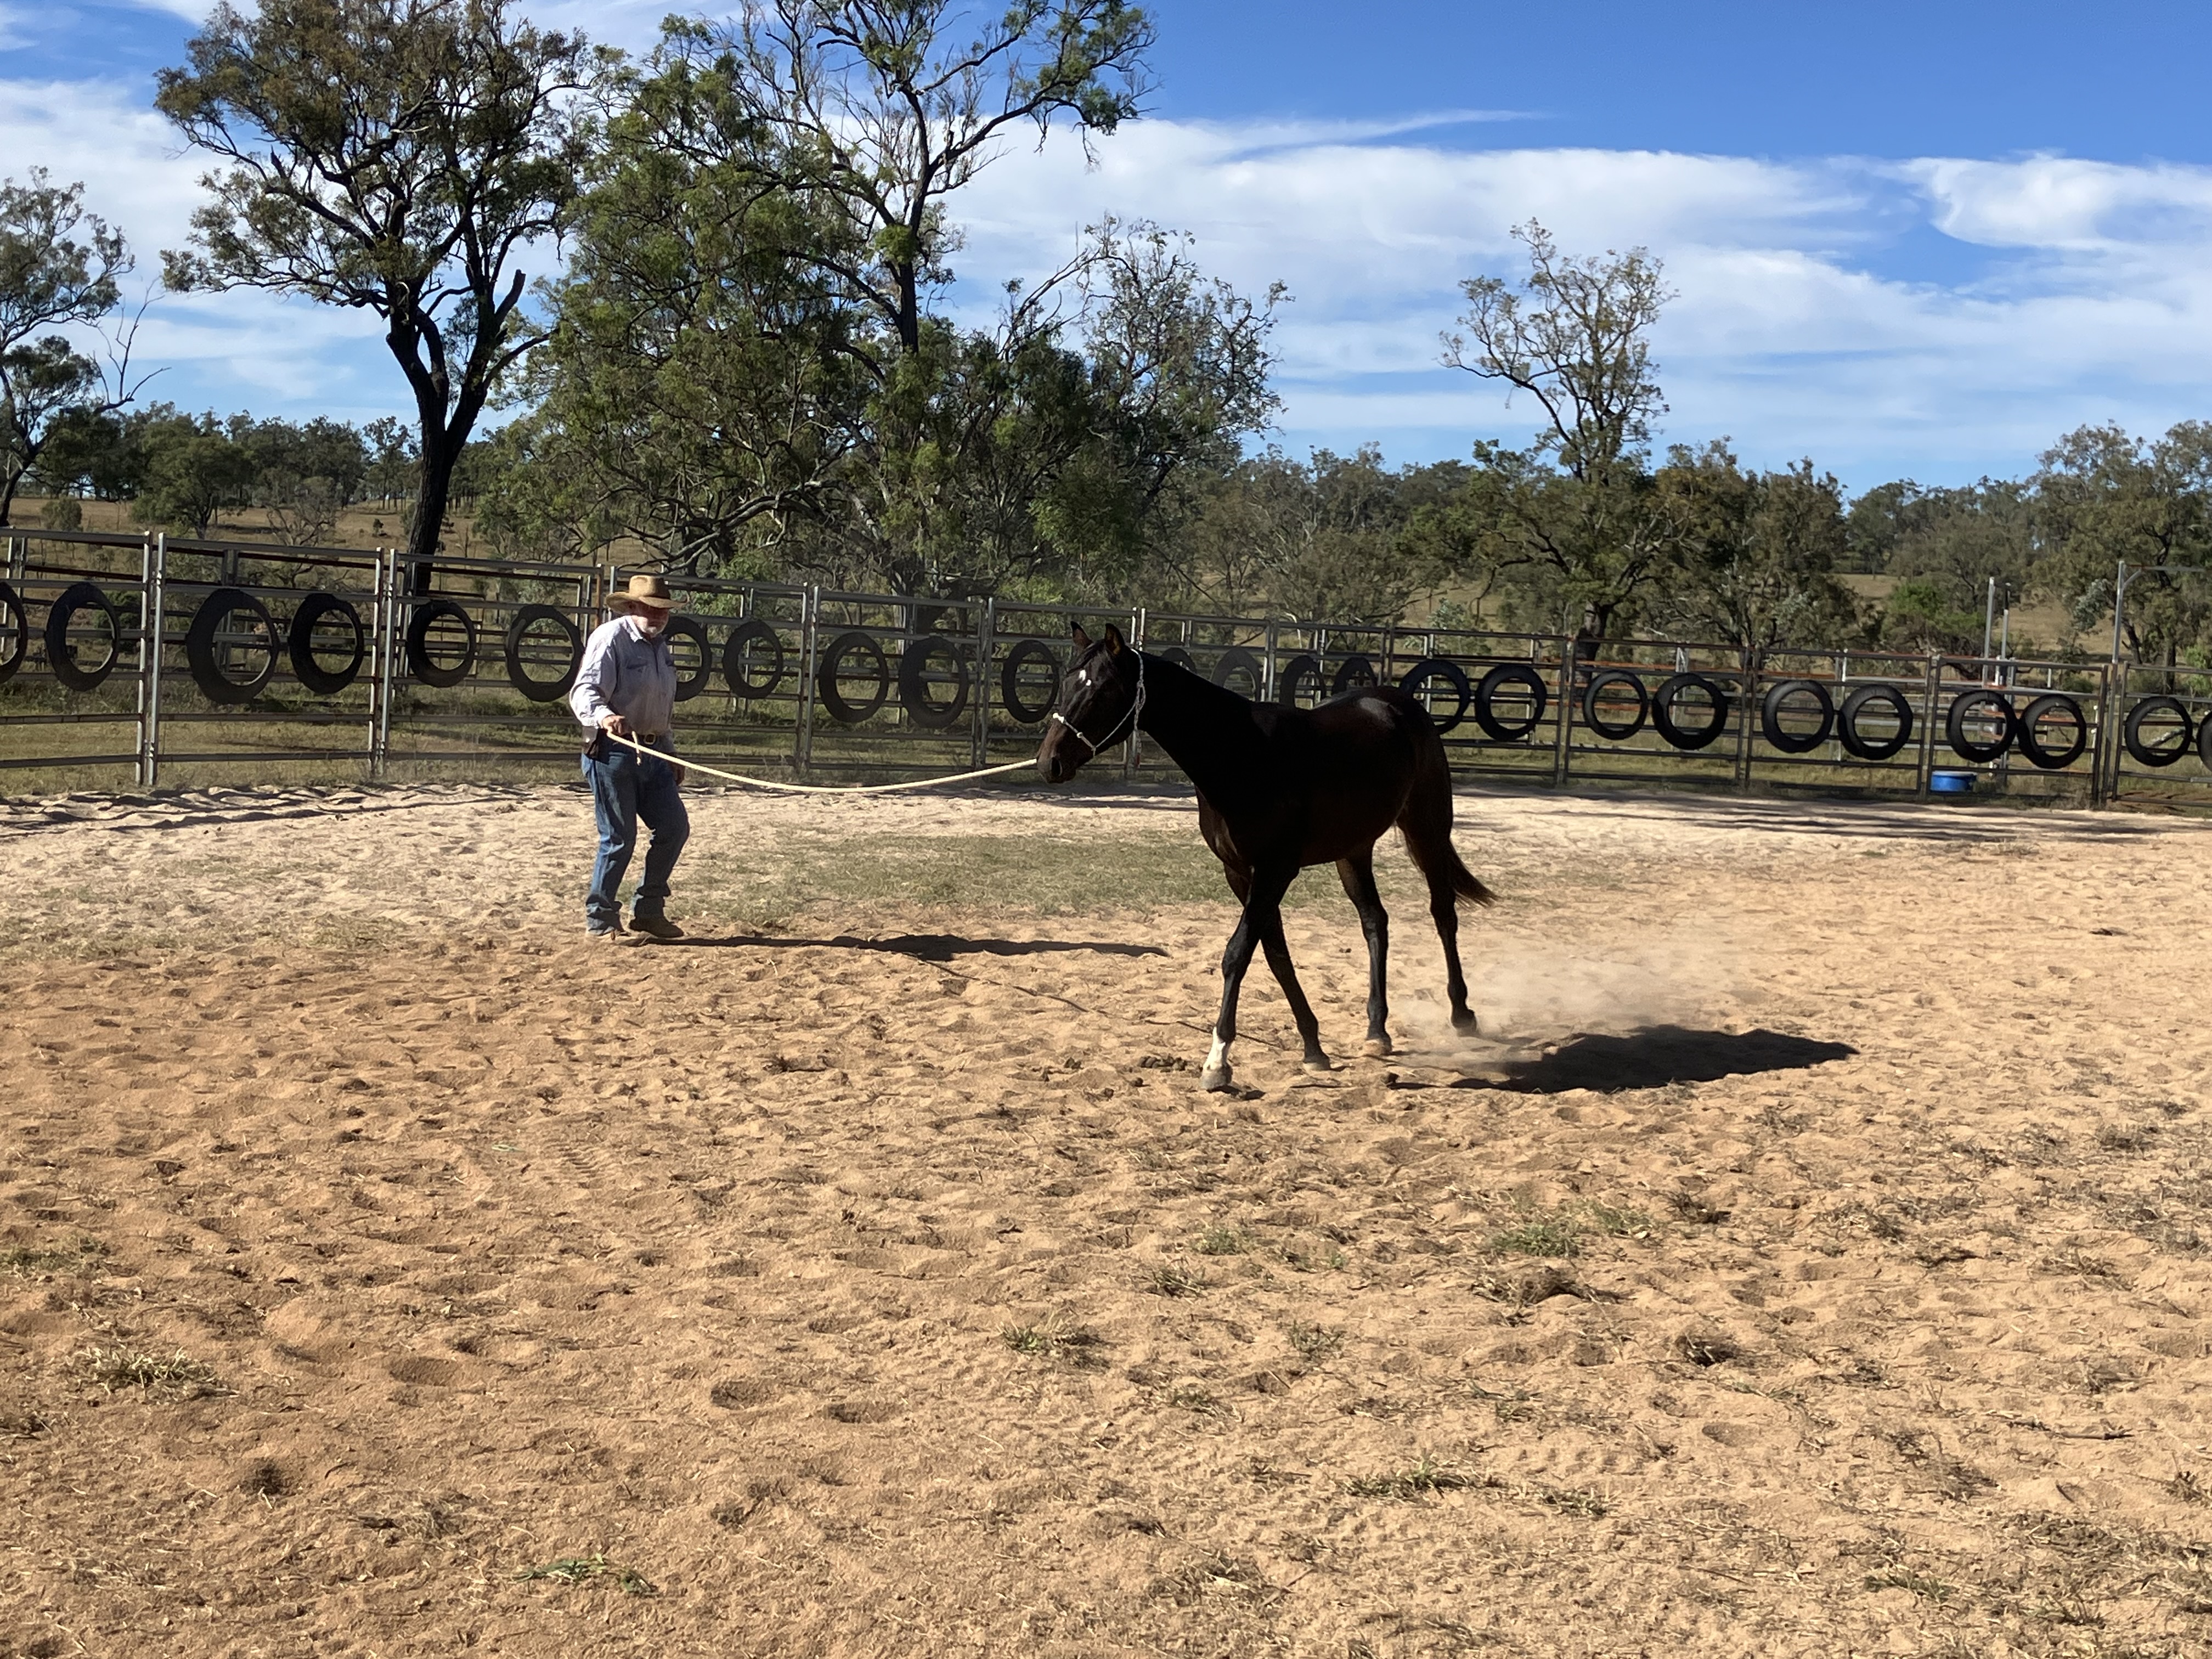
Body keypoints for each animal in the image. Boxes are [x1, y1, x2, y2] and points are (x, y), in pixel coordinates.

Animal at [1036, 624, 1494, 1092]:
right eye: (1068, 682)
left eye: (1102, 689)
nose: (1049, 762)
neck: (1243, 757)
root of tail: (1399, 705)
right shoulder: (1240, 873)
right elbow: (1276, 955)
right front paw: (1313, 1049)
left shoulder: (1276, 871)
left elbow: (1238, 954)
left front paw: (1217, 1063)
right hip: (1353, 851)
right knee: (1375, 921)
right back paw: (1376, 1032)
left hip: (1428, 829)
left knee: (1443, 913)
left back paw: (1462, 1014)